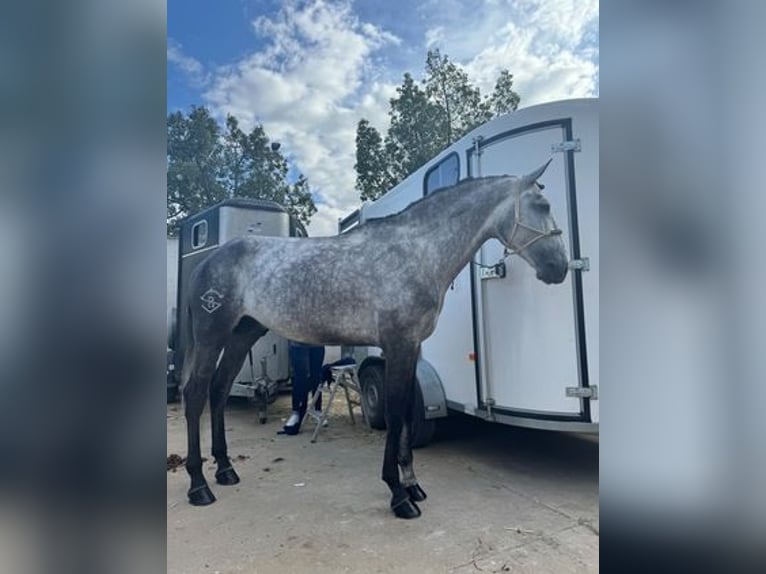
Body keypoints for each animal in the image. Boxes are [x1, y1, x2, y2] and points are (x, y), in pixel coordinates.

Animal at [183, 160, 568, 520]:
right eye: (542, 204)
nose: (560, 267)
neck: (417, 252)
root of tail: (208, 261)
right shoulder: (398, 345)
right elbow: (395, 413)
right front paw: (399, 495)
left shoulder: (412, 348)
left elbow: (408, 413)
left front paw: (413, 485)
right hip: (212, 335)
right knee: (195, 394)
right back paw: (199, 486)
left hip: (242, 334)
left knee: (218, 390)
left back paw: (225, 469)